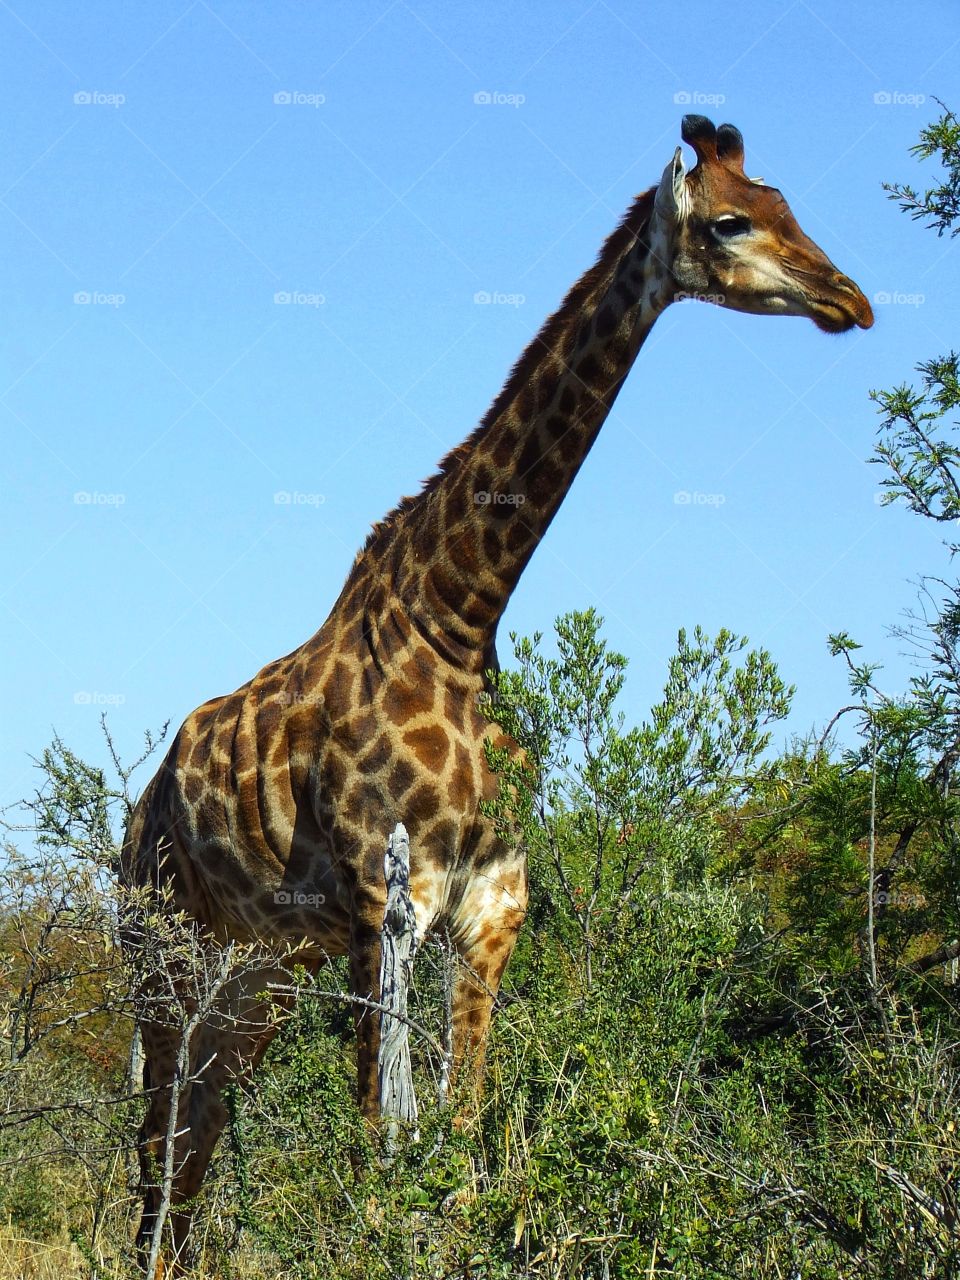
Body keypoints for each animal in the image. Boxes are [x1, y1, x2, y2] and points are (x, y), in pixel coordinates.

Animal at [121, 114, 873, 1273]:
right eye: (730, 221)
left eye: (788, 202)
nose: (849, 298)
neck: (458, 623)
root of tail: (138, 816)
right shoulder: (386, 905)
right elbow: (379, 1148)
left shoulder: (489, 910)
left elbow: (465, 1143)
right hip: (163, 968)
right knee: (154, 1155)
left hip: (254, 981)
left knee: (192, 1149)